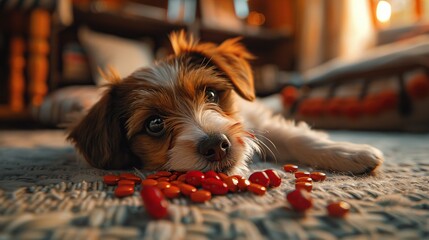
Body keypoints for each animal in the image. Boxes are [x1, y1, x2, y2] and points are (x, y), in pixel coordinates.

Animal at [68, 31, 382, 175]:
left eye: (211, 95)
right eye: (154, 124)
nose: (216, 145)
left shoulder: (252, 122)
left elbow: (296, 136)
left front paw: (352, 153)